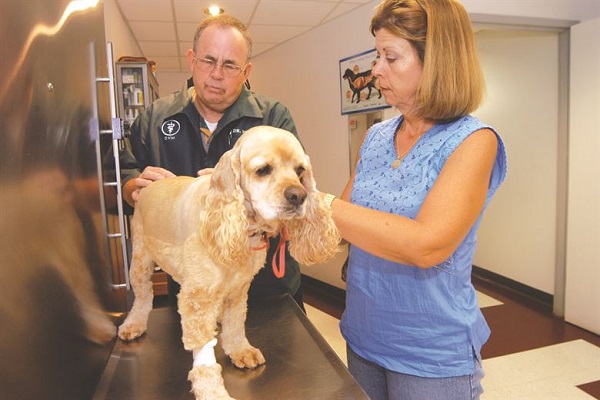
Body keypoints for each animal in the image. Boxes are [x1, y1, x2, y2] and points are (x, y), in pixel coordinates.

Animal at [118, 126, 342, 400]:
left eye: (300, 171)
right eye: (263, 169)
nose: (298, 196)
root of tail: (152, 183)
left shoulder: (238, 289)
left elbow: (235, 324)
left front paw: (240, 351)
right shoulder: (197, 297)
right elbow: (203, 355)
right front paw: (212, 391)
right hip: (140, 260)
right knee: (142, 299)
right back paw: (133, 324)